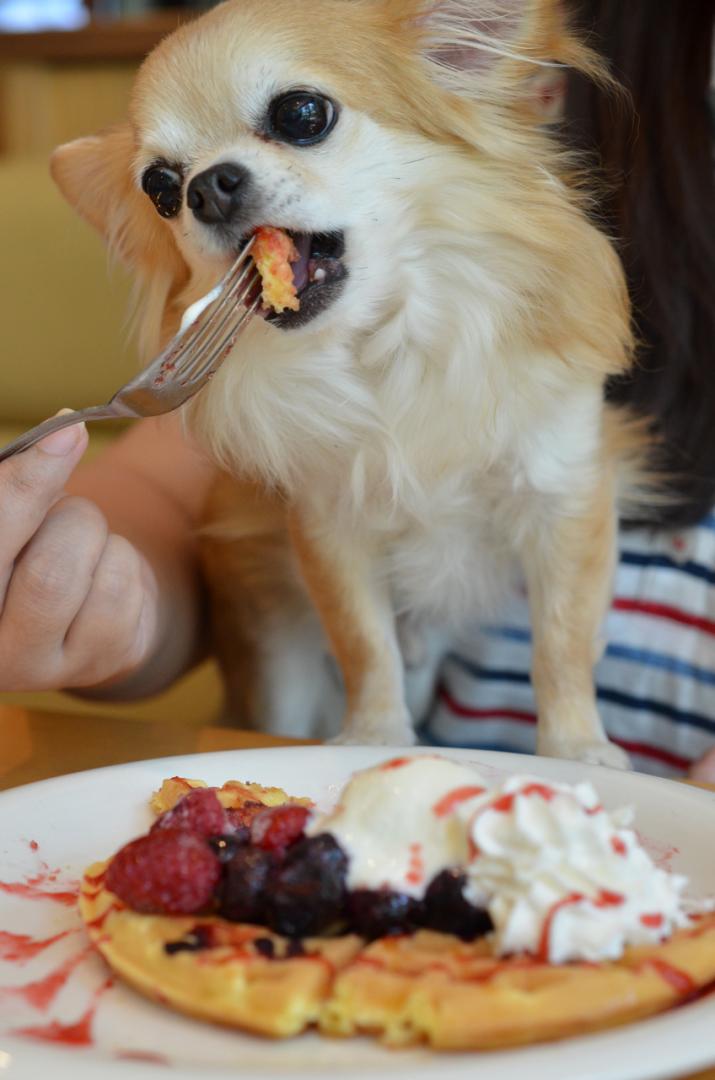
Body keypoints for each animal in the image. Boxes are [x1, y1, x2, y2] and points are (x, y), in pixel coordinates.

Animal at [50, 0, 643, 764]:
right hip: (277, 653)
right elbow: (364, 643)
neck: (385, 343)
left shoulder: (563, 496)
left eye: (302, 114)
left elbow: (563, 643)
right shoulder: (330, 526)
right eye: (159, 189)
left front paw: (574, 748)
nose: (205, 186)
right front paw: (372, 737)